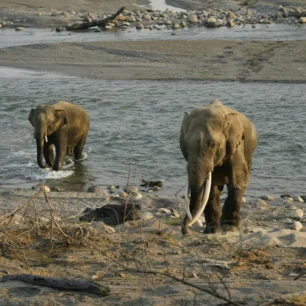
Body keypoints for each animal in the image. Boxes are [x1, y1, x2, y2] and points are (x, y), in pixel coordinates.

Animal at [180, 99, 256, 235]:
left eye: (212, 145)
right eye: (186, 145)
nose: (185, 231)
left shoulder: (237, 147)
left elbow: (238, 179)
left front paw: (229, 228)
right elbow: (210, 189)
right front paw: (211, 231)